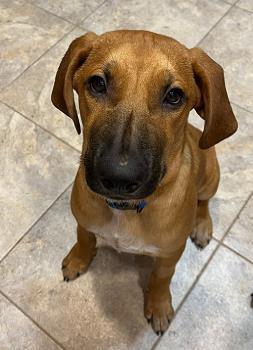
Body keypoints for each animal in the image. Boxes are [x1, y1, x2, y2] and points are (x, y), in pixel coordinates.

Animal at [51, 31, 237, 334]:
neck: (126, 210)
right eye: (97, 83)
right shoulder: (84, 219)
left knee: (204, 201)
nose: (119, 178)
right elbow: (84, 236)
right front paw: (79, 258)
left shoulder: (170, 253)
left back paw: (201, 225)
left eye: (174, 96)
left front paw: (158, 306)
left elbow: (162, 278)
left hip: (211, 173)